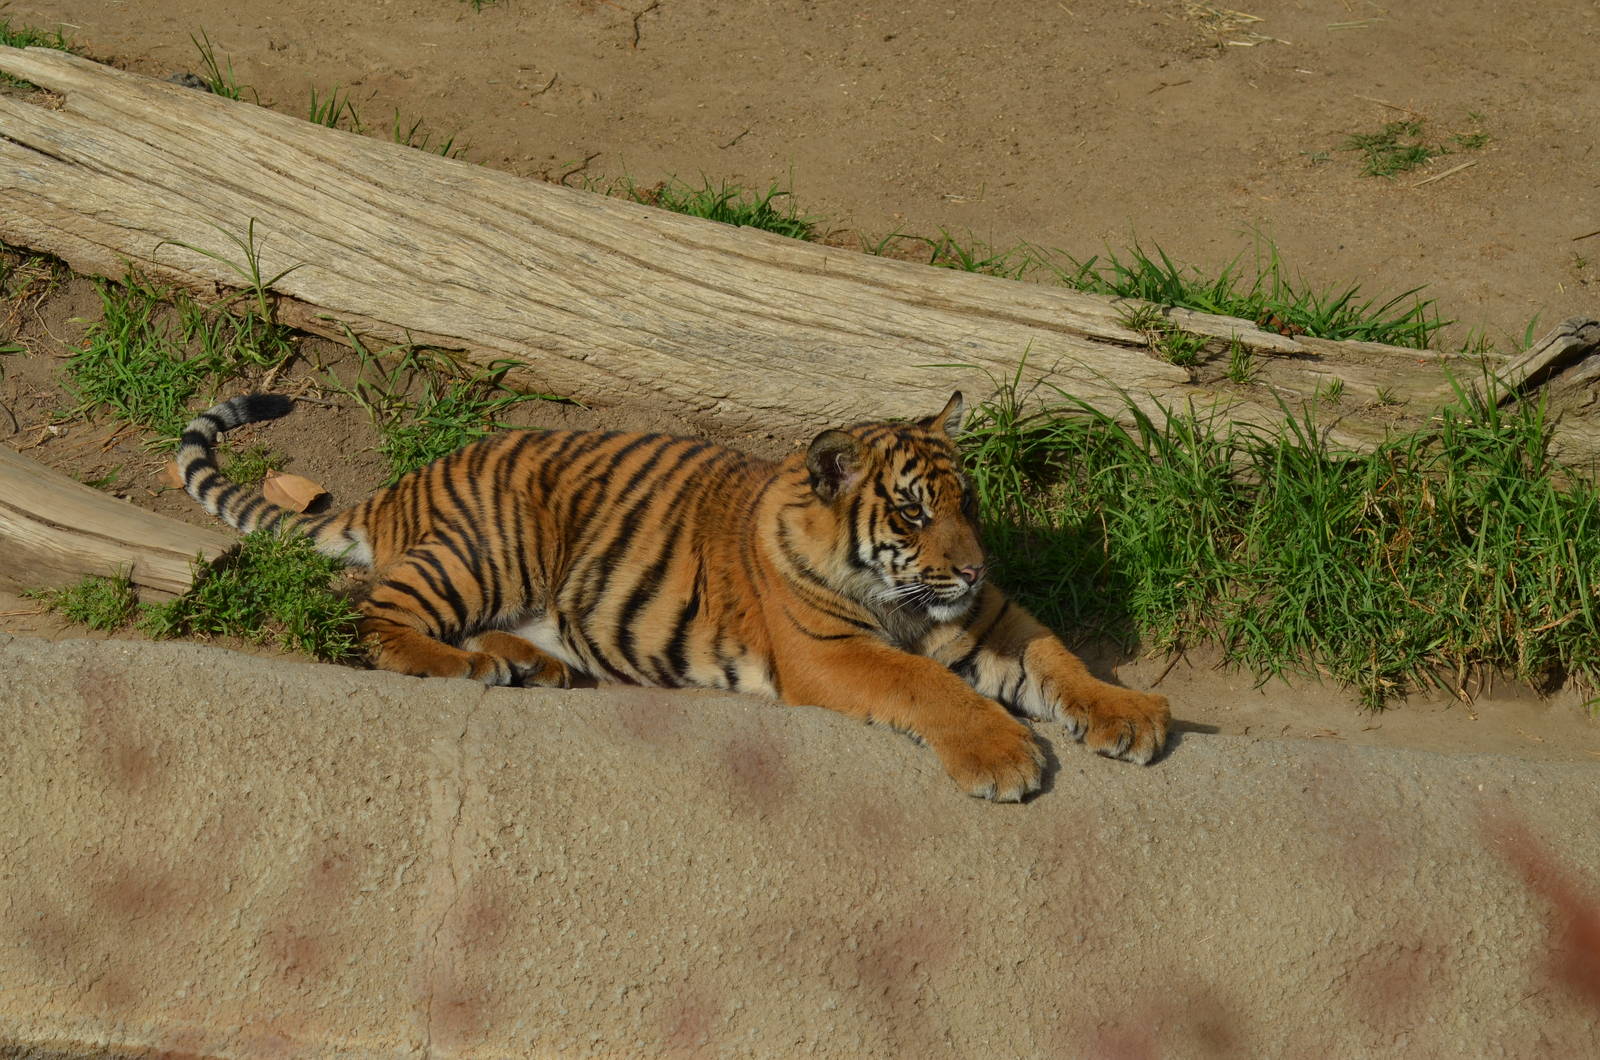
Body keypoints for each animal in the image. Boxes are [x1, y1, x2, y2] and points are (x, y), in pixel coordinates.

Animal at [178, 392, 1170, 801]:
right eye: (913, 512)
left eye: (969, 503)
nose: (970, 571)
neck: (907, 601)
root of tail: (405, 485)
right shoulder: (835, 655)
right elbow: (932, 688)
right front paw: (1004, 758)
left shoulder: (992, 621)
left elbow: (1058, 657)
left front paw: (1130, 715)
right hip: (491, 548)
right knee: (374, 615)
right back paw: (466, 669)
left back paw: (528, 666)